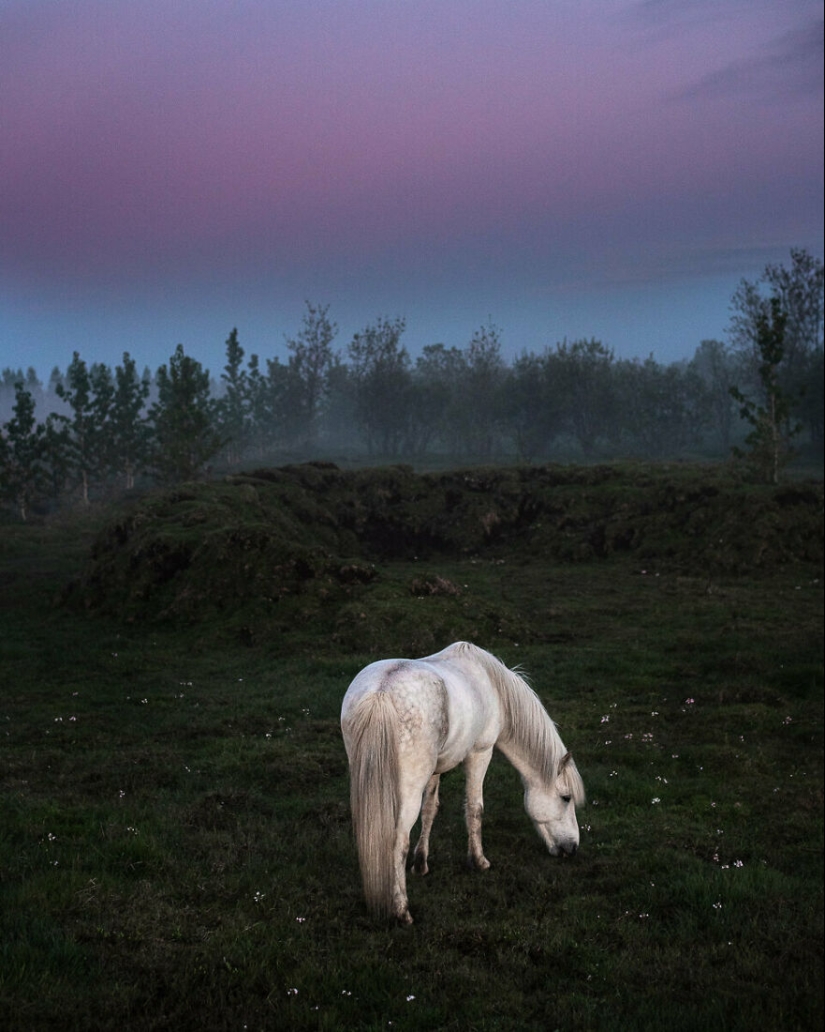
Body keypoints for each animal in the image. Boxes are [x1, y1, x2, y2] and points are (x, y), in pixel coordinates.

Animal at [340, 641, 585, 924]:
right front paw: (478, 861)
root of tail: (380, 692)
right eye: (566, 798)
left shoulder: (436, 769)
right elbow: (475, 808)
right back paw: (402, 911)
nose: (573, 848)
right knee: (398, 842)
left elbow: (430, 810)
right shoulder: (481, 753)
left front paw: (421, 864)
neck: (492, 685)